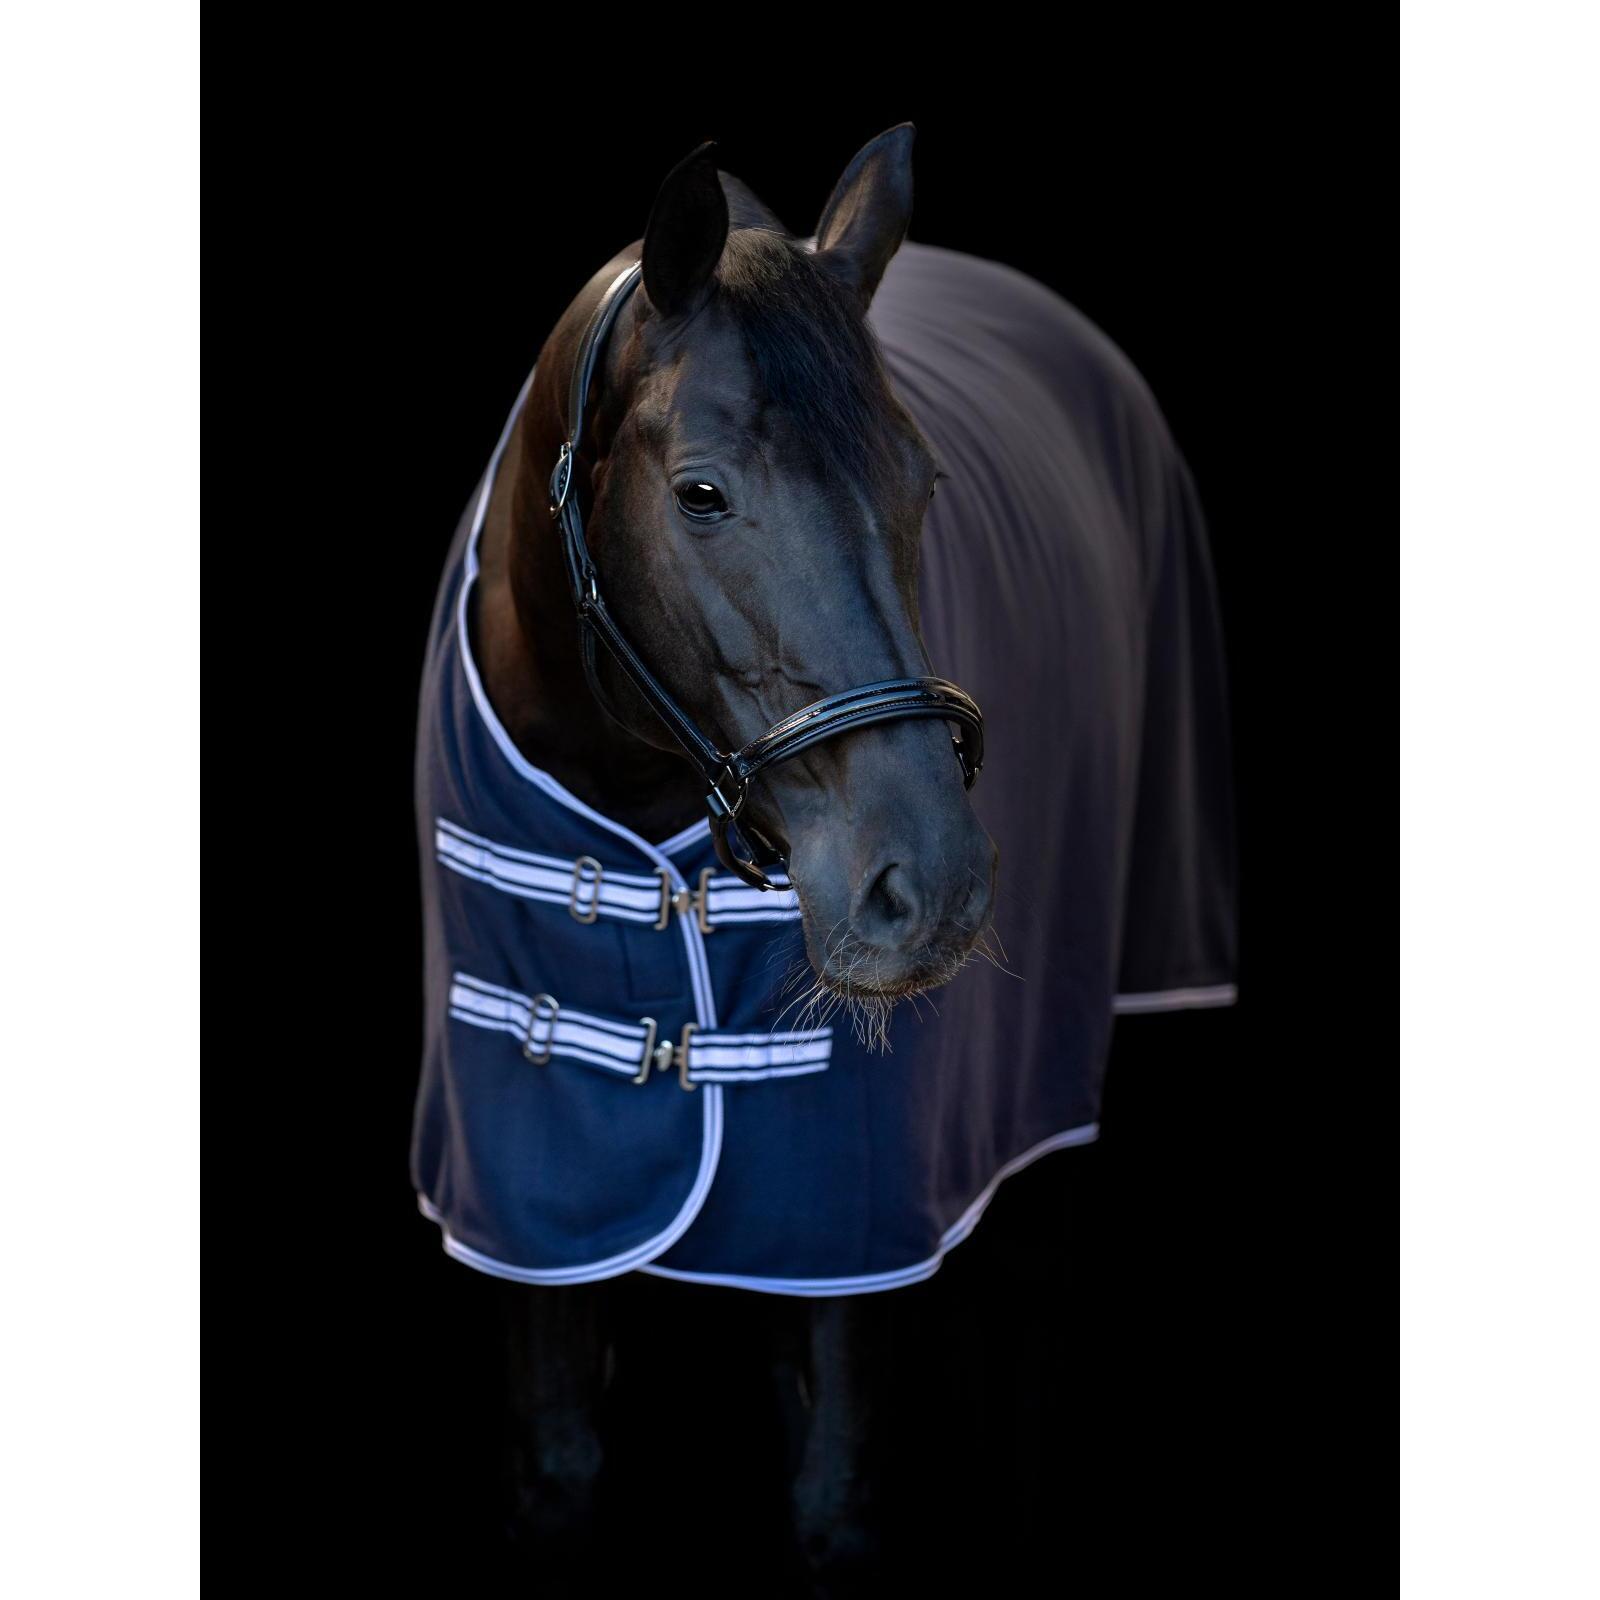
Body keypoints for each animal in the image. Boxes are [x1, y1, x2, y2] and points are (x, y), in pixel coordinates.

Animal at [410, 125, 1237, 1589]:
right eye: (701, 492)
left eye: (924, 483)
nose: (930, 888)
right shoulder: (535, 1228)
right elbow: (558, 1463)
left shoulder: (849, 1244)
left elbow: (835, 1489)